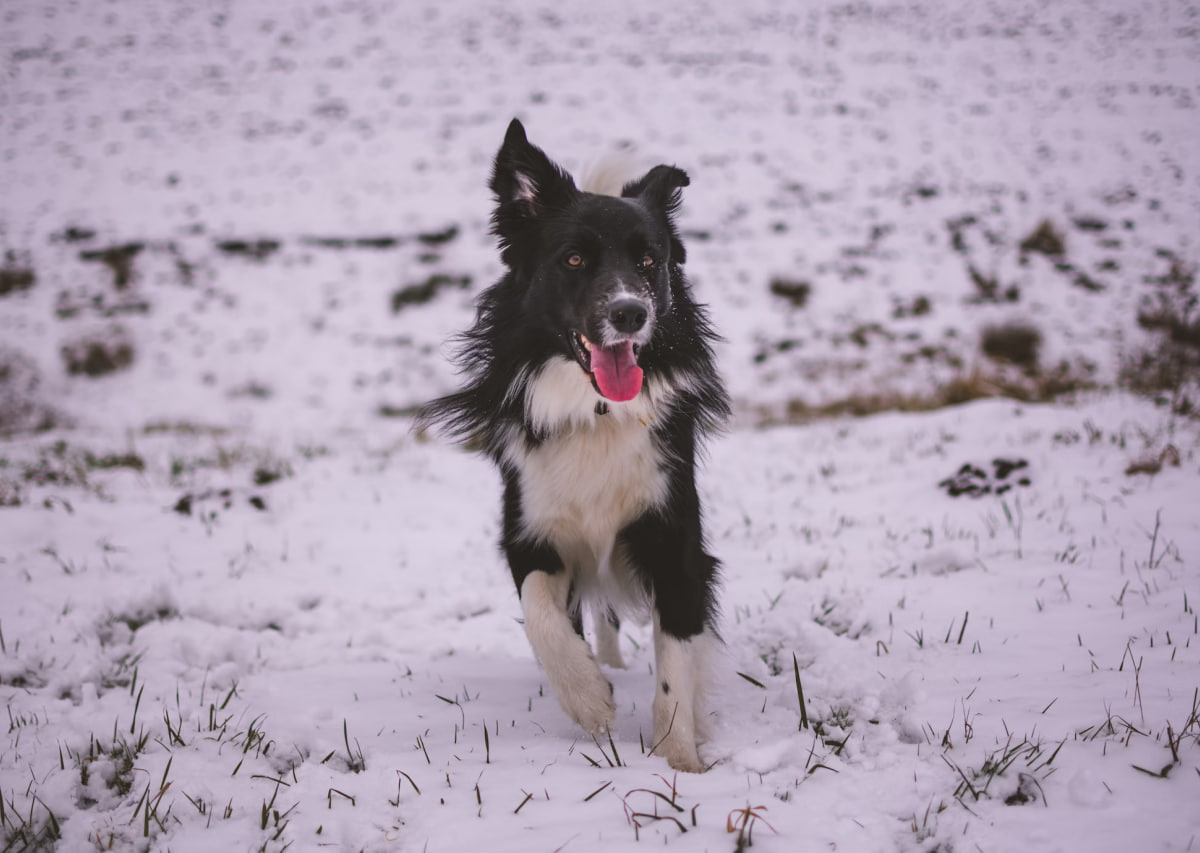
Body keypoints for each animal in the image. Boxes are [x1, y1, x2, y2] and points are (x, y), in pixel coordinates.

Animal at [417, 121, 724, 772]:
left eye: (649, 260)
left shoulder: (674, 537)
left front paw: (681, 762)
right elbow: (543, 617)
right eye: (575, 258)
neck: (596, 409)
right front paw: (590, 700)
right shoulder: (531, 528)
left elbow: (677, 661)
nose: (631, 314)